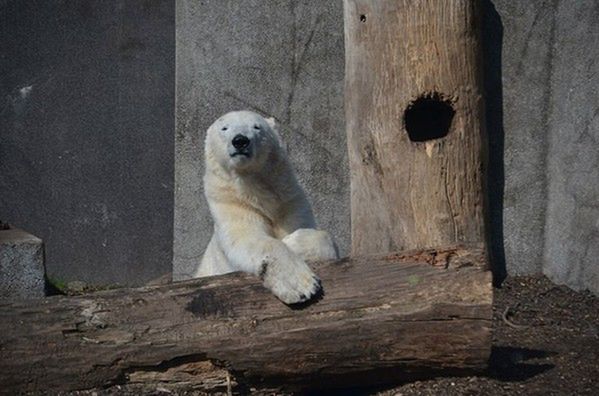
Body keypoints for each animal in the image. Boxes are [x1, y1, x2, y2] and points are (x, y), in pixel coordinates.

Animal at [196, 110, 340, 304]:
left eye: (257, 127)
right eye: (224, 128)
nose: (240, 140)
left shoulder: (289, 202)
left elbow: (320, 235)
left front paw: (292, 241)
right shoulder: (230, 203)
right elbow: (246, 239)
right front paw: (300, 286)